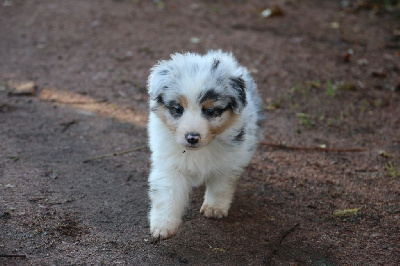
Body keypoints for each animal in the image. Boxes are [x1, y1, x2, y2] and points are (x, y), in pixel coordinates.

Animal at [147, 50, 262, 239]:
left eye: (210, 111)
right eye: (178, 109)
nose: (193, 137)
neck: (197, 151)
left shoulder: (230, 162)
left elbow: (221, 186)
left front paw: (214, 208)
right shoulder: (170, 165)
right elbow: (167, 195)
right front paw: (163, 226)